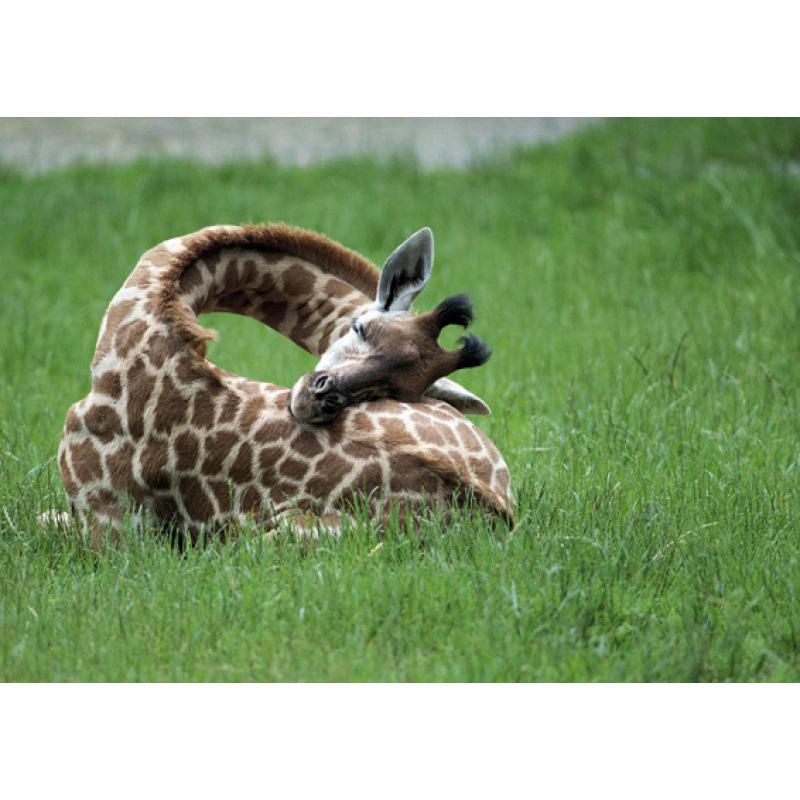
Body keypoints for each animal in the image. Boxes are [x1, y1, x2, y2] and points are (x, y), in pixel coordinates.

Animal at [53, 223, 513, 548]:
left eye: (402, 389)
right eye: (360, 328)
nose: (321, 399)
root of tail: (497, 511)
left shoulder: (107, 521)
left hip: (272, 536)